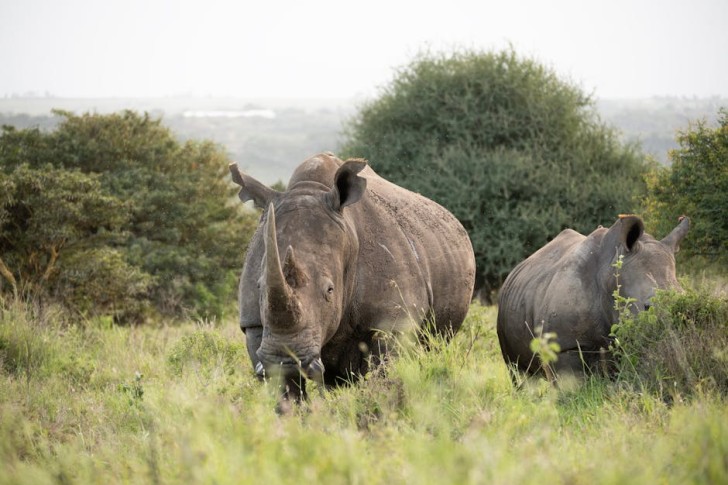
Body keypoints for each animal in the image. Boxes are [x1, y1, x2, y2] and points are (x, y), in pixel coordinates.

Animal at [229, 152, 475, 402]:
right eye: (259, 287)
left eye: (330, 290)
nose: (286, 361)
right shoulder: (254, 324)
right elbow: (286, 393)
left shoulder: (394, 323)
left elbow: (384, 380)